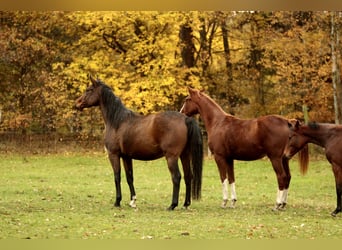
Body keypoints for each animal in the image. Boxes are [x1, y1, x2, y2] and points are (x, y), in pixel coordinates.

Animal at [75, 75, 203, 210]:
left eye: (89, 90)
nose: (77, 103)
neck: (117, 121)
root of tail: (186, 119)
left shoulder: (113, 155)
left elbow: (117, 177)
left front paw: (117, 201)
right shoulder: (126, 156)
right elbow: (129, 177)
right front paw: (133, 201)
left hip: (171, 157)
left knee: (176, 177)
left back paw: (172, 205)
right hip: (185, 155)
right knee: (188, 176)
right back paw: (186, 204)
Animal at [179, 87, 308, 210]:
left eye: (187, 99)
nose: (181, 113)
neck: (218, 122)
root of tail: (287, 122)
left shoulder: (219, 157)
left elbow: (223, 178)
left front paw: (224, 202)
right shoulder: (229, 158)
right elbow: (231, 178)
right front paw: (233, 202)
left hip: (275, 158)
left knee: (281, 177)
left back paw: (277, 204)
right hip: (284, 159)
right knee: (288, 177)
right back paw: (283, 204)